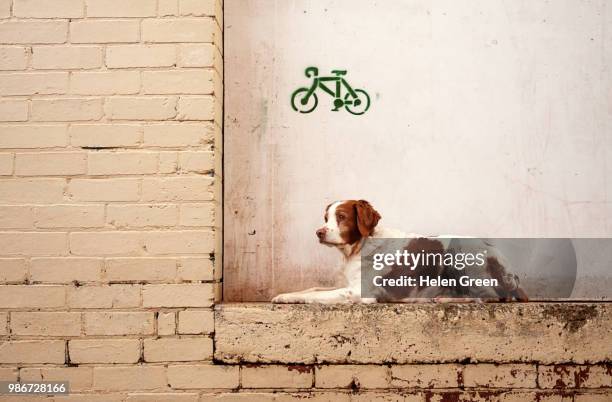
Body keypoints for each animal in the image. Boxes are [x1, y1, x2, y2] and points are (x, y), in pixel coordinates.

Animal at [270, 199, 528, 304]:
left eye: (341, 217)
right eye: (326, 218)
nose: (319, 232)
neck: (360, 246)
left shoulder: (359, 292)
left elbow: (318, 295)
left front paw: (285, 298)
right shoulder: (349, 283)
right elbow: (313, 288)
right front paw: (284, 294)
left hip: (462, 254)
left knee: (491, 296)